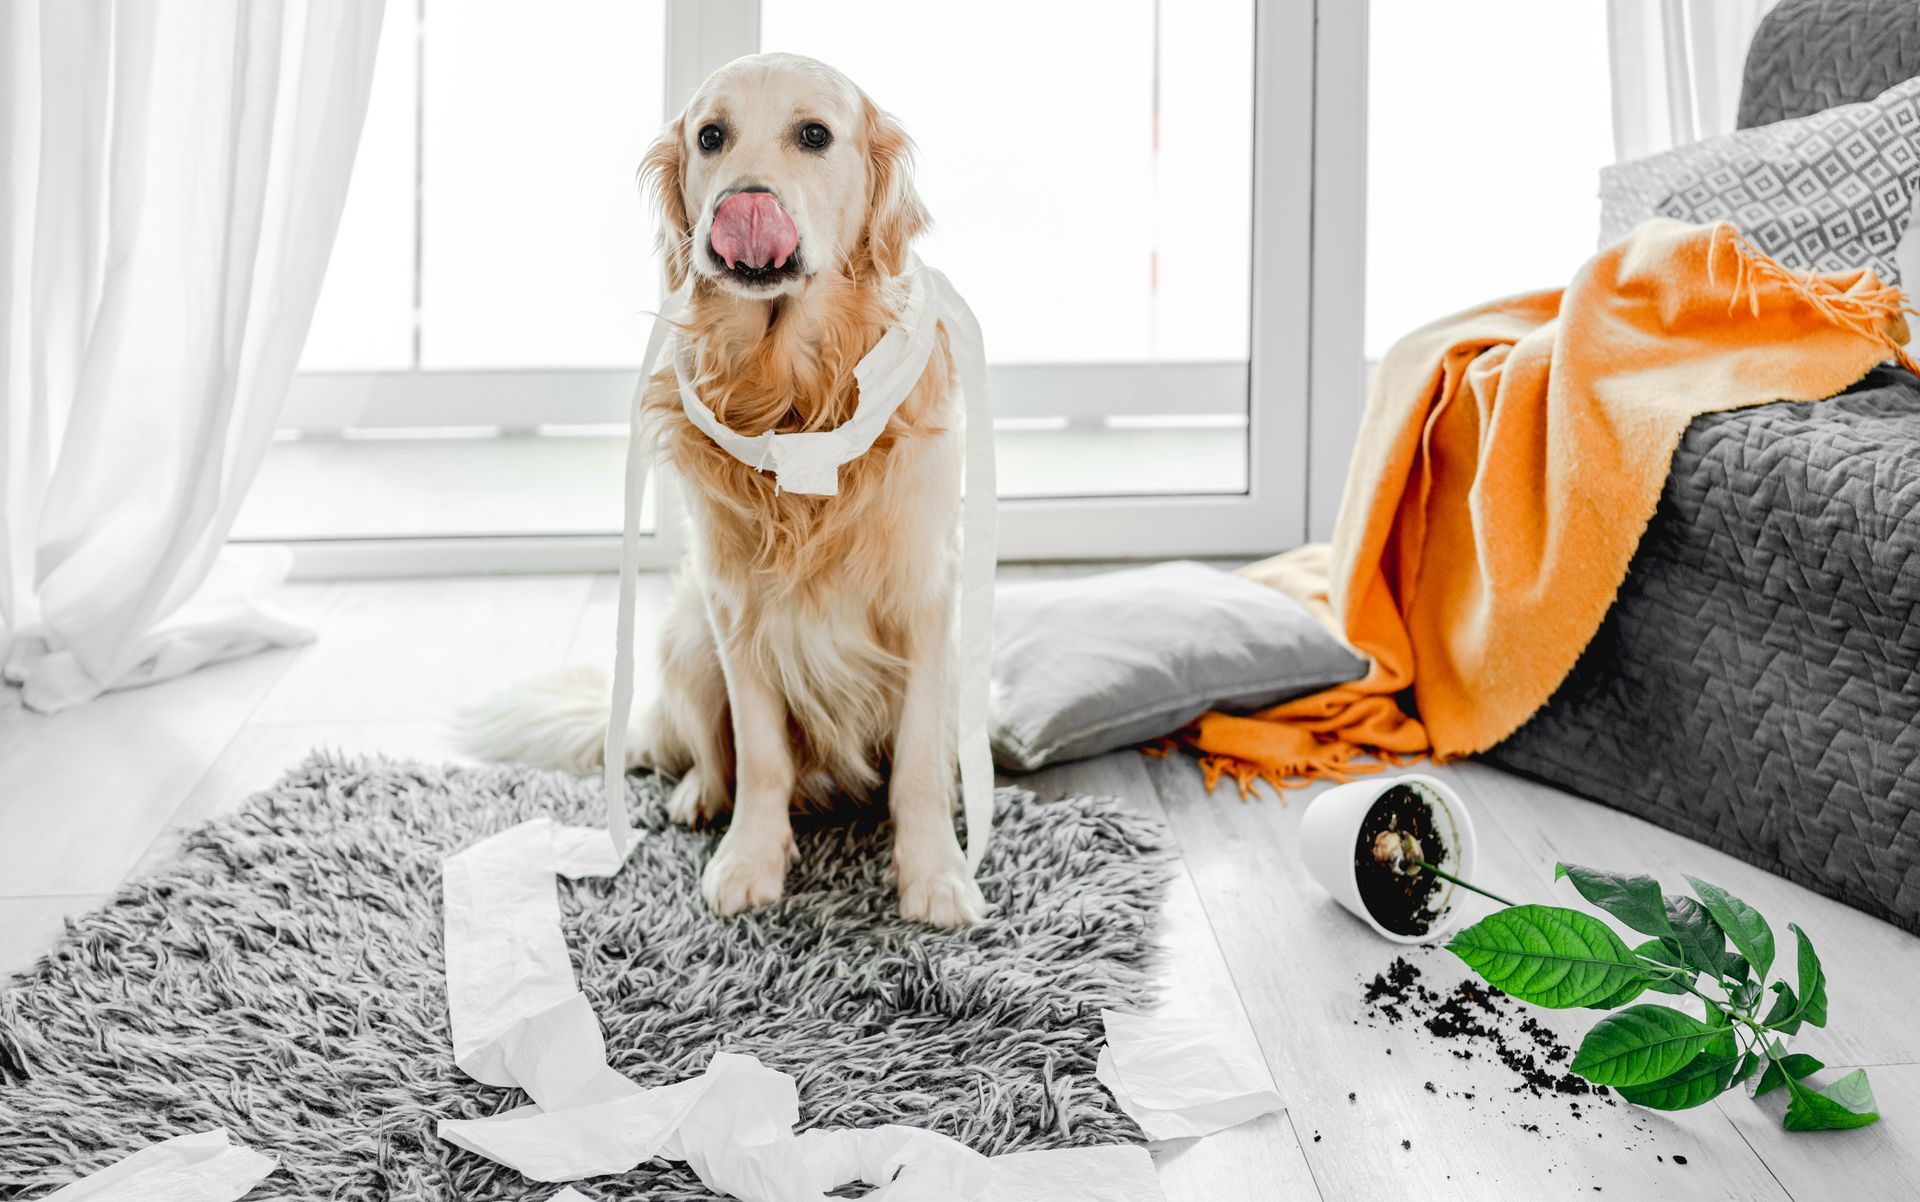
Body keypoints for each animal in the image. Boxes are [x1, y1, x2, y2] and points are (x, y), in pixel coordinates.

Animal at [456, 51, 983, 921]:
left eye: (815, 135)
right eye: (711, 137)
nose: (742, 206)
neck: (795, 397)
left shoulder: (925, 603)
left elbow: (916, 766)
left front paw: (936, 875)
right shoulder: (737, 608)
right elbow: (761, 755)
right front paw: (750, 858)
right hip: (688, 639)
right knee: (708, 750)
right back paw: (699, 796)